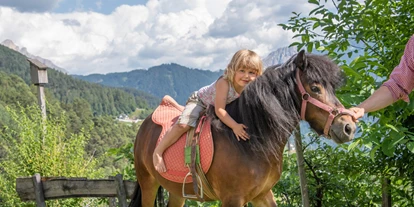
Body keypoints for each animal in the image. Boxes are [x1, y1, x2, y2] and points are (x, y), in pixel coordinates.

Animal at [129, 50, 356, 207]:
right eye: (315, 88)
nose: (348, 126)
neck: (249, 144)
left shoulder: (262, 194)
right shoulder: (232, 199)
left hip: (176, 190)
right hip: (148, 183)